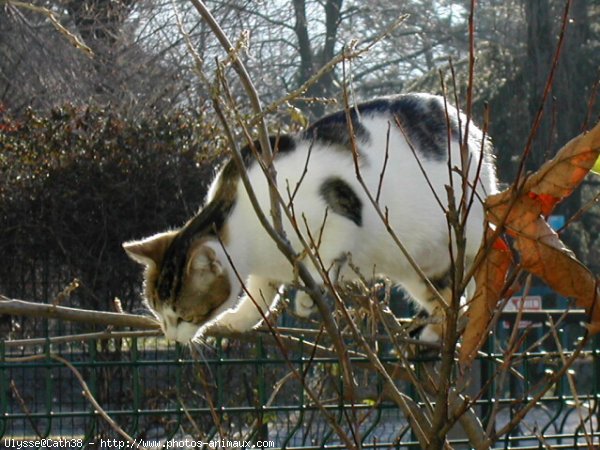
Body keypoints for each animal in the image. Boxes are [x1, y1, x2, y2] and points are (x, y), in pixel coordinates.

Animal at [123, 93, 496, 342]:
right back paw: (437, 331)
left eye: (183, 315)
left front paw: (306, 296)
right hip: (420, 270)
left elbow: (325, 258)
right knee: (450, 301)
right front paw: (238, 320)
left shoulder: (341, 215)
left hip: (473, 227)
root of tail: (468, 125)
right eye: (159, 314)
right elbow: (260, 295)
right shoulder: (264, 266)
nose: (171, 339)